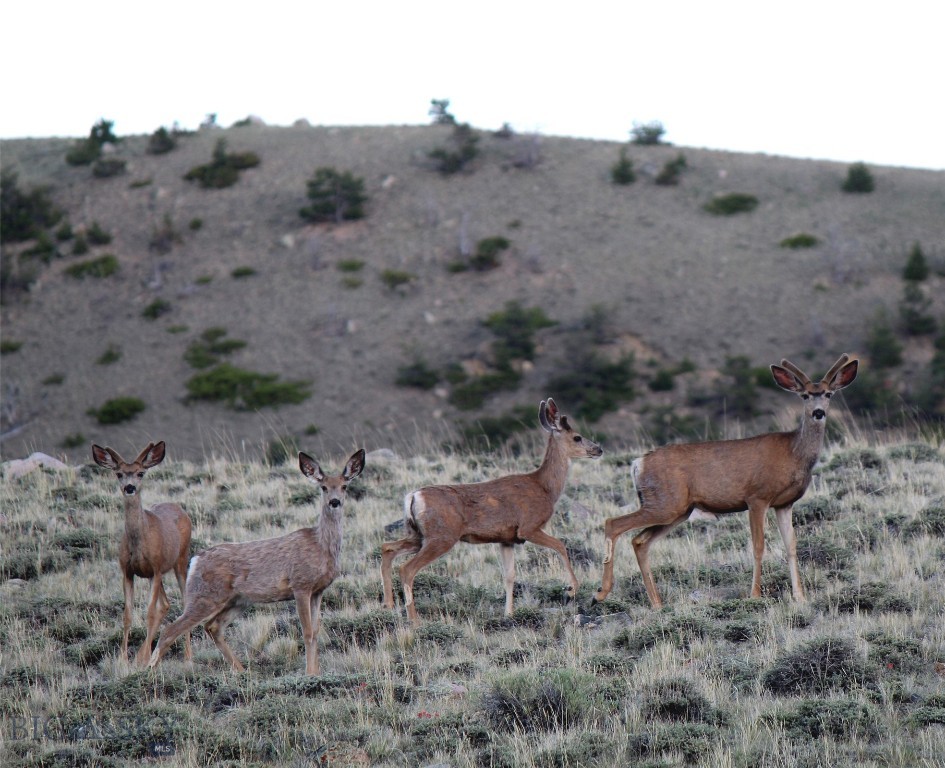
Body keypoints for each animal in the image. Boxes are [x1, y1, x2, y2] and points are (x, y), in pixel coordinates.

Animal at [91, 444, 193, 664]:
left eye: (140, 473)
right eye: (119, 473)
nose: (130, 487)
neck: (139, 541)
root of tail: (180, 508)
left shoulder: (156, 568)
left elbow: (150, 613)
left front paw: (144, 658)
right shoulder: (128, 571)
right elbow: (127, 615)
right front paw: (124, 657)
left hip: (180, 560)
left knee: (183, 602)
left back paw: (187, 655)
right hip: (157, 573)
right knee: (165, 604)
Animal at [148, 448, 366, 676]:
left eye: (344, 486)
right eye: (324, 487)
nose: (335, 501)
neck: (321, 545)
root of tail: (196, 561)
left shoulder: (318, 590)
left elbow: (315, 631)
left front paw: (315, 673)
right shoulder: (301, 584)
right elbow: (307, 632)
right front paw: (309, 674)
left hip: (237, 600)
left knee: (212, 627)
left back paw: (242, 671)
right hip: (204, 596)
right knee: (170, 630)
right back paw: (147, 673)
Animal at [380, 400, 600, 620]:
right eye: (577, 437)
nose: (599, 449)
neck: (544, 488)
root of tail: (413, 496)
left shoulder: (507, 539)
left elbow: (509, 575)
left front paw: (509, 613)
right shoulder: (529, 527)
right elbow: (560, 545)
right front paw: (572, 589)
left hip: (419, 535)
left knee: (387, 548)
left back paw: (389, 605)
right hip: (441, 536)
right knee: (407, 569)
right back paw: (414, 619)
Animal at [592, 354, 860, 612]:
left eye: (828, 393)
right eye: (804, 395)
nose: (818, 412)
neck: (794, 454)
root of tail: (639, 463)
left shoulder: (785, 503)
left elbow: (791, 546)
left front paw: (800, 597)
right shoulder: (757, 497)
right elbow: (758, 546)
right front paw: (755, 595)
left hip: (677, 510)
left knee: (639, 541)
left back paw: (657, 604)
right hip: (665, 502)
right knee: (613, 523)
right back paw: (601, 593)